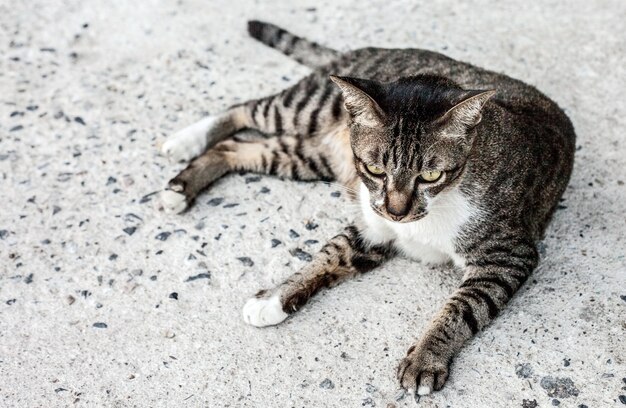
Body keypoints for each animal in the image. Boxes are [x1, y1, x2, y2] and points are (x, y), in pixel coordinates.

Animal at [157, 20, 576, 396]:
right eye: (375, 169)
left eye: (430, 174)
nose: (396, 211)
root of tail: (362, 52)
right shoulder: (375, 225)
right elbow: (326, 254)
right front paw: (276, 295)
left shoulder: (506, 254)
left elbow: (462, 307)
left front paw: (425, 358)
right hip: (308, 108)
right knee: (247, 108)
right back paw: (185, 142)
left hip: (309, 156)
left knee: (238, 147)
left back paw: (183, 183)